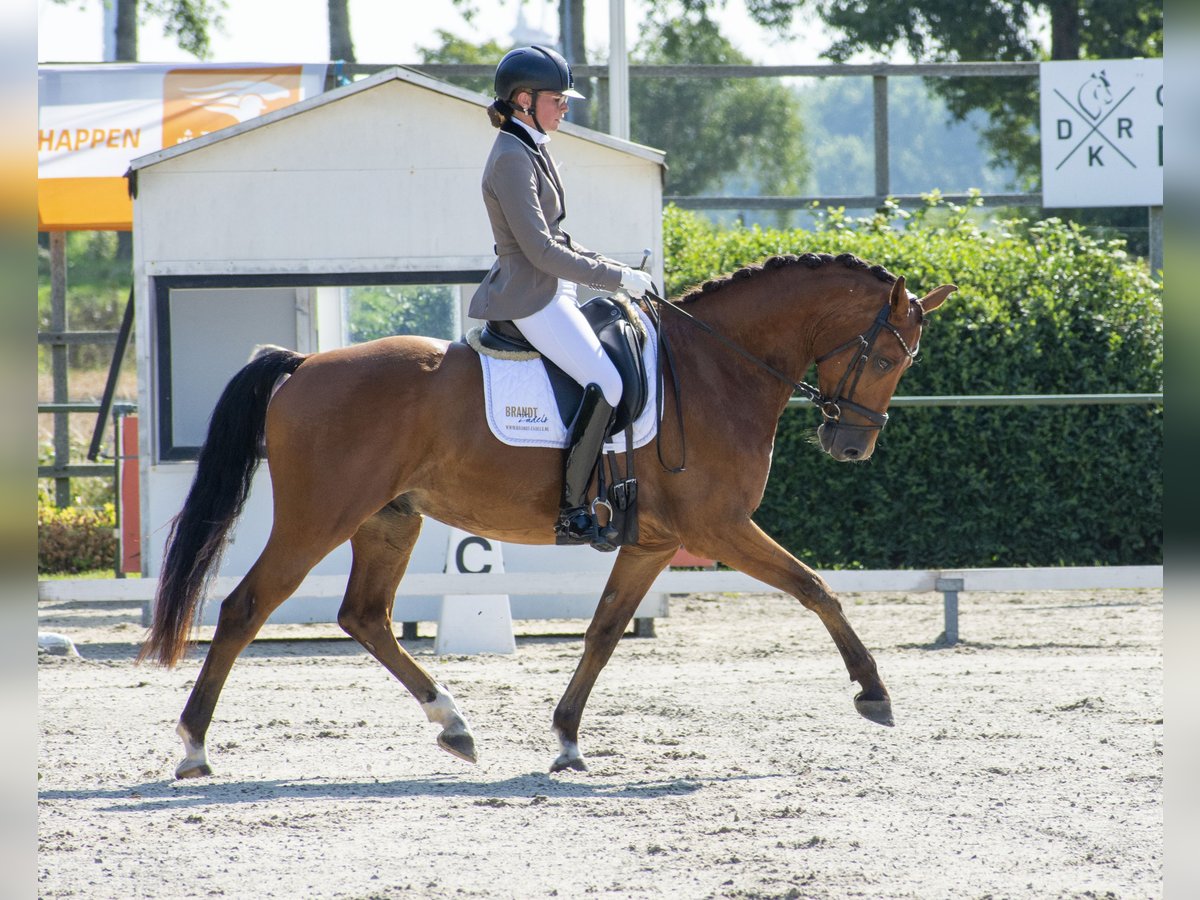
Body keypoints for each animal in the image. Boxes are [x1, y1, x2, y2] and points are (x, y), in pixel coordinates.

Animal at [140, 251, 956, 778]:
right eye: (890, 358)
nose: (850, 446)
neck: (714, 367)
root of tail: (304, 364)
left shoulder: (654, 542)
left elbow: (603, 632)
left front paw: (566, 740)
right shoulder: (718, 527)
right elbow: (817, 588)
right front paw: (874, 693)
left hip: (390, 519)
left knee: (365, 616)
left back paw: (455, 725)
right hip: (320, 517)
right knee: (248, 606)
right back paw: (193, 747)